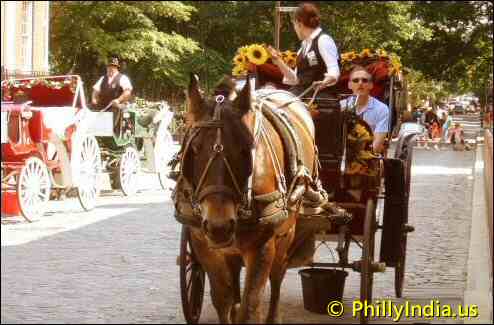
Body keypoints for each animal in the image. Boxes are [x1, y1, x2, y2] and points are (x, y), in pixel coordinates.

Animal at [178, 74, 316, 322]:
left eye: (245, 149)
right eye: (194, 149)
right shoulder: (203, 244)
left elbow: (250, 306)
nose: (219, 225)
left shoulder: (262, 245)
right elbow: (222, 299)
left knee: (277, 275)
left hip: (287, 232)